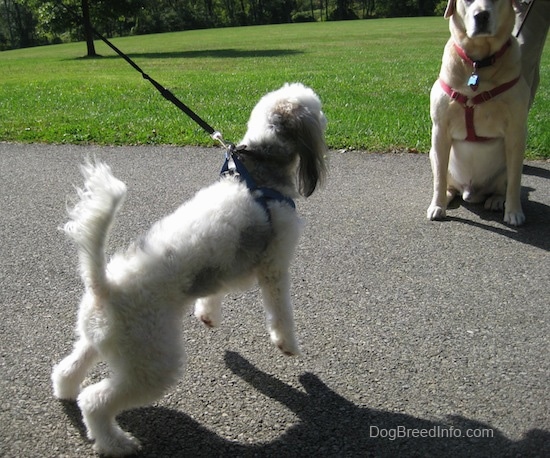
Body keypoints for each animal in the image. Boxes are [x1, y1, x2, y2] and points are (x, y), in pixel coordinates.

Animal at [51, 82, 328, 454]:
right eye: (318, 110)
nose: (327, 119)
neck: (259, 175)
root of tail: (104, 285)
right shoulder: (275, 266)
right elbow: (281, 312)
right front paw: (288, 345)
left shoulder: (224, 267)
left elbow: (213, 294)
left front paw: (207, 315)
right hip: (153, 364)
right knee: (95, 400)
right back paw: (117, 443)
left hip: (97, 341)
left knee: (69, 368)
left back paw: (65, 391)